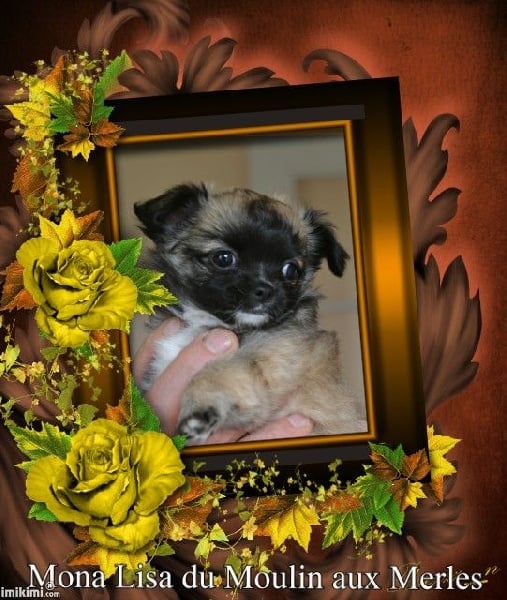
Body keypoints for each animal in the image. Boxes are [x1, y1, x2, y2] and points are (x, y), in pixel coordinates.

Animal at [134, 183, 367, 444]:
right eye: (223, 258)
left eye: (291, 271)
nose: (264, 290)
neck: (206, 322)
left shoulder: (272, 362)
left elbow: (222, 367)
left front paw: (200, 408)